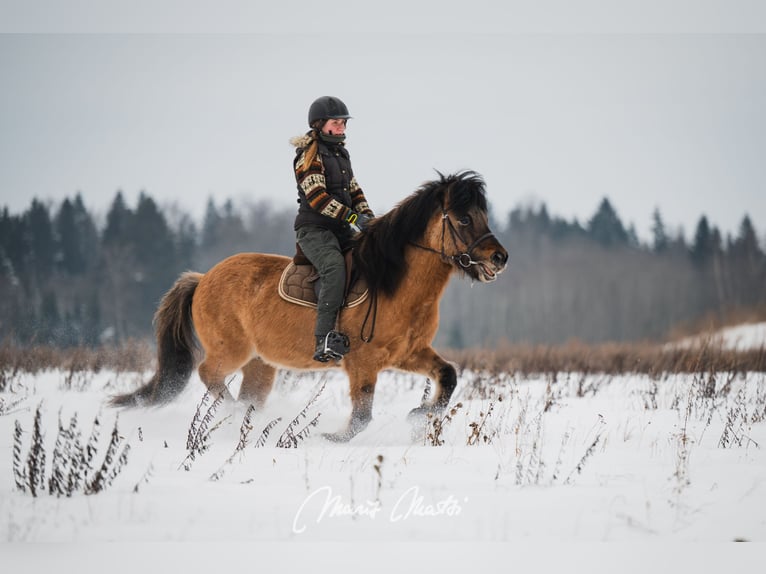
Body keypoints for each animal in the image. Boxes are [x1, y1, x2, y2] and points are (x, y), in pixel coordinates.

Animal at [110, 171, 508, 441]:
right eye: (464, 218)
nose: (500, 258)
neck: (393, 282)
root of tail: (203, 278)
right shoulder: (362, 362)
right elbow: (360, 418)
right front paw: (329, 438)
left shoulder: (408, 353)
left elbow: (448, 375)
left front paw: (418, 414)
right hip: (231, 350)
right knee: (208, 373)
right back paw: (234, 415)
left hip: (260, 364)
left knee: (248, 394)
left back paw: (246, 423)